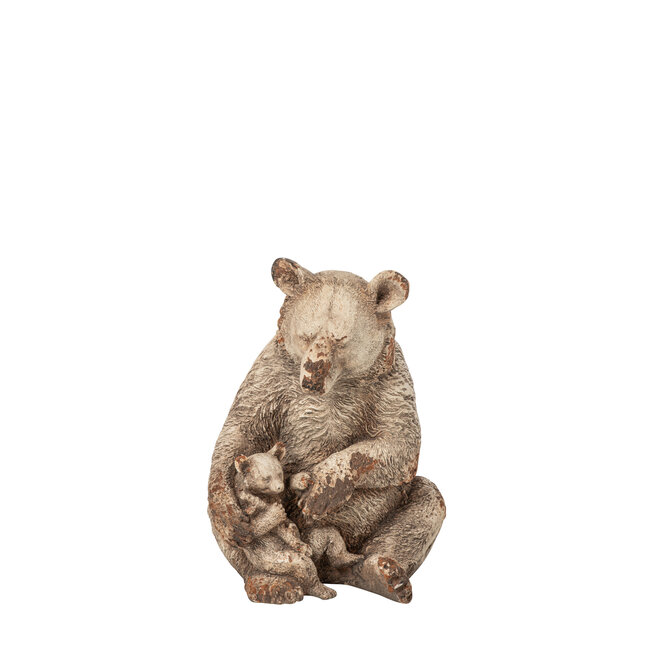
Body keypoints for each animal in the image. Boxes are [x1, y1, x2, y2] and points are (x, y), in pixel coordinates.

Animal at [233, 441, 337, 600]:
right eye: (266, 478)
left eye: (279, 474)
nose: (278, 486)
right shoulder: (250, 506)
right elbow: (250, 530)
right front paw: (274, 514)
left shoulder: (278, 497)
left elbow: (287, 500)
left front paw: (301, 480)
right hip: (273, 559)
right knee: (304, 566)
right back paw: (323, 590)